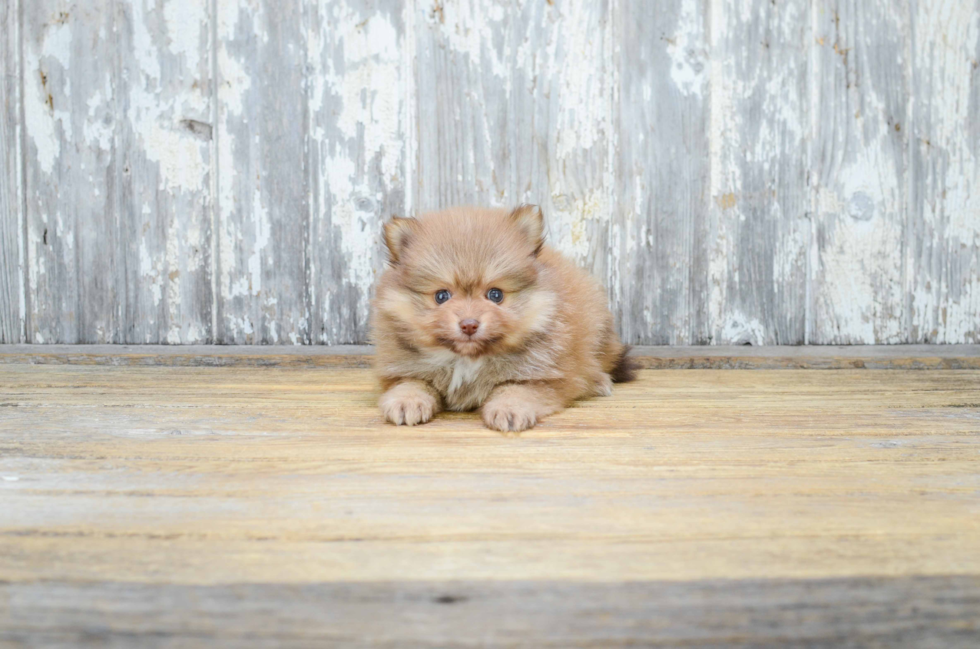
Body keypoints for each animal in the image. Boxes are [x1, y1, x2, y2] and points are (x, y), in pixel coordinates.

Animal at [368, 205, 636, 432]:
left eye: (495, 294)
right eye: (441, 296)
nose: (469, 324)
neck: (468, 360)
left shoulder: (543, 376)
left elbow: (516, 390)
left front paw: (509, 409)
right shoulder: (402, 368)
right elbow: (412, 383)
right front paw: (406, 401)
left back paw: (599, 381)